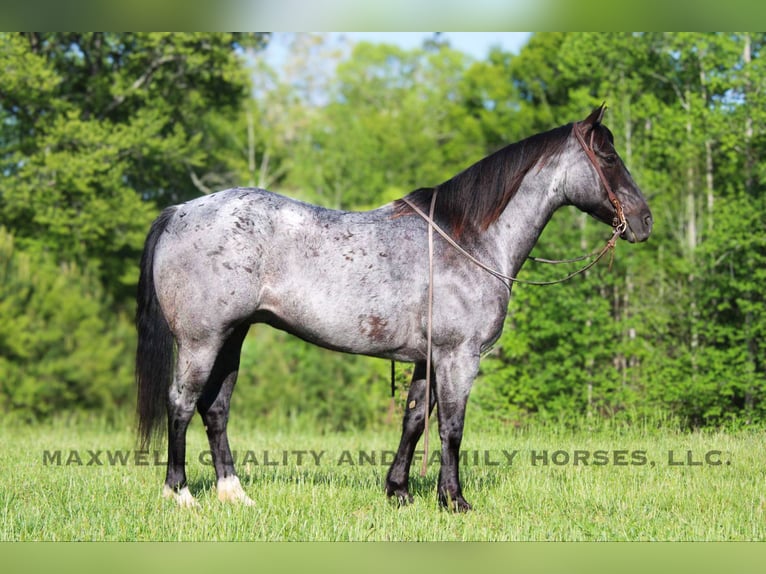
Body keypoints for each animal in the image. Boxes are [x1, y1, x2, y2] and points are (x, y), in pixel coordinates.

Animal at [135, 104, 653, 510]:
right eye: (608, 155)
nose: (644, 221)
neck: (468, 240)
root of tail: (180, 212)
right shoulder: (458, 357)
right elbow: (451, 427)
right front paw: (454, 499)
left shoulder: (428, 359)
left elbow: (415, 420)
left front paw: (399, 491)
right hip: (202, 341)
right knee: (181, 403)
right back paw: (180, 494)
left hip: (232, 337)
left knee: (215, 410)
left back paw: (234, 493)